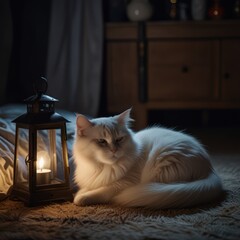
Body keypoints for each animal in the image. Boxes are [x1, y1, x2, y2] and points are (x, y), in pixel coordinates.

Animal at [72, 109, 223, 208]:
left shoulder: (123, 183)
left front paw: (80, 198)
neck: (101, 167)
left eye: (119, 139)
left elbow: (100, 191)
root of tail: (210, 170)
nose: (114, 150)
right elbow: (87, 187)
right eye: (101, 141)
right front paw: (81, 192)